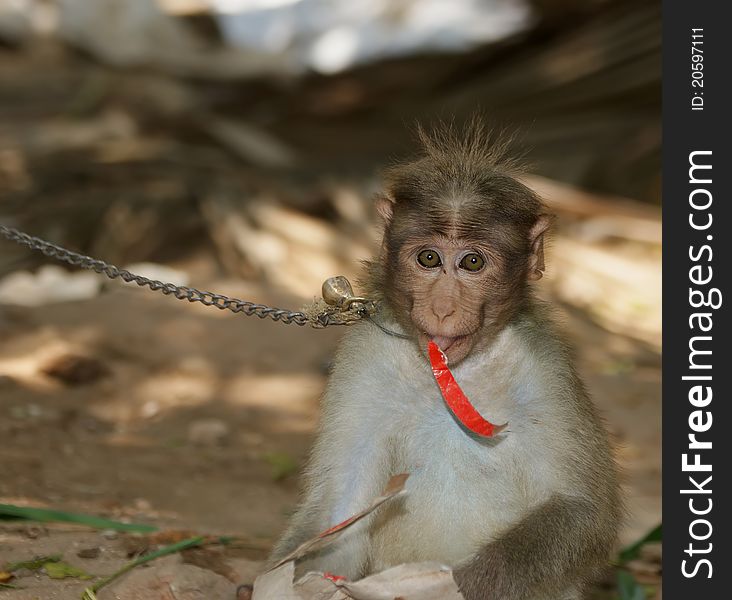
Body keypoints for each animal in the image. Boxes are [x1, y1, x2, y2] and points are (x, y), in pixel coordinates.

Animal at [266, 120, 620, 600]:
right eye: (429, 258)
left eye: (471, 262)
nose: (443, 308)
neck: (448, 374)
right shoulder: (363, 355)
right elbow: (341, 512)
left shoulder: (547, 368)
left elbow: (582, 510)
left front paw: (450, 586)